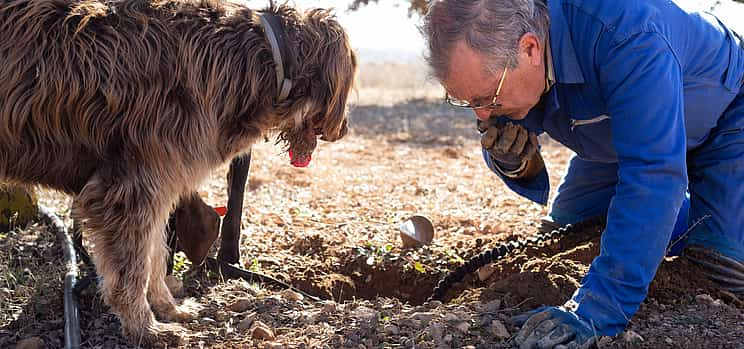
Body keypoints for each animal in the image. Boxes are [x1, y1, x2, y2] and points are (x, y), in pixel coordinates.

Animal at [0, 0, 358, 342]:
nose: (344, 129)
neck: (262, 55)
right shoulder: (128, 191)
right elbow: (132, 270)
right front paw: (146, 328)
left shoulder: (159, 187)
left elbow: (155, 255)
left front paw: (167, 307)